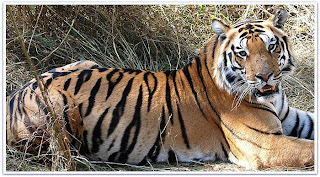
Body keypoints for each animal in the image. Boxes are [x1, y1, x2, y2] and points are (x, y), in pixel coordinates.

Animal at [6, 9, 314, 169]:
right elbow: (310, 148)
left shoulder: (290, 118)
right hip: (59, 108)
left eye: (271, 47)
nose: (265, 76)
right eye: (242, 54)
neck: (273, 97)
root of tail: (14, 95)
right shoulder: (264, 146)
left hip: (86, 62)